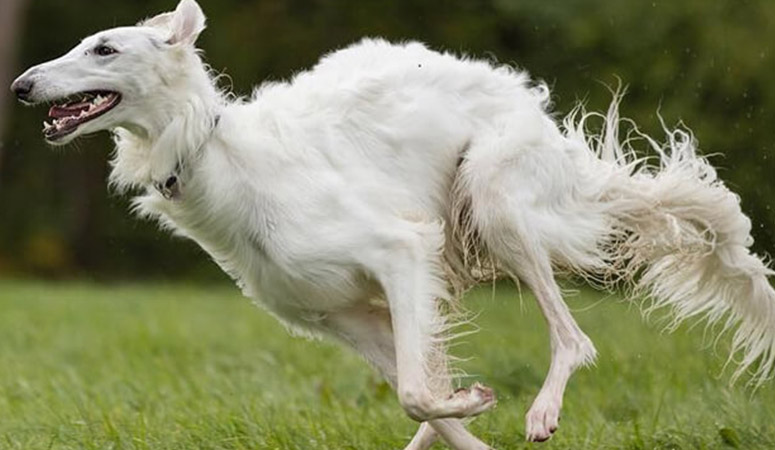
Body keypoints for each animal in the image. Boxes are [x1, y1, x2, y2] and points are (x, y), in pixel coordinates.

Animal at [10, 1, 775, 448]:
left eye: (105, 49)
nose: (19, 86)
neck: (222, 157)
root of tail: (522, 95)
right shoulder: (339, 317)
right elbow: (428, 402)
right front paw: (468, 409)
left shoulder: (401, 251)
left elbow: (414, 394)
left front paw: (477, 401)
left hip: (495, 201)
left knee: (574, 338)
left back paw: (541, 412)